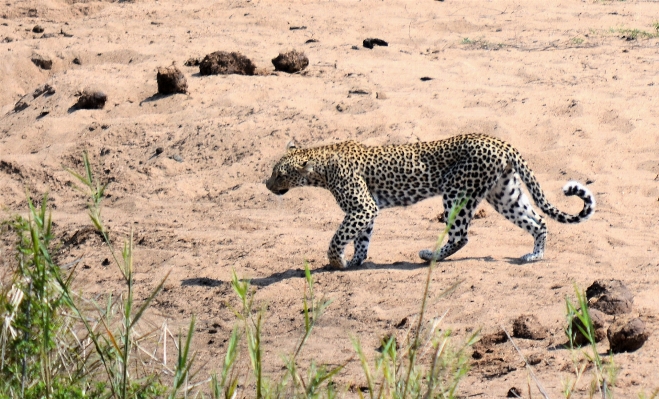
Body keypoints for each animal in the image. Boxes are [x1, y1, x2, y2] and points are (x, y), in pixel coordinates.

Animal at [266, 134, 596, 268]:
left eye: (279, 174)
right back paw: (534, 255)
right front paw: (357, 260)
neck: (321, 165)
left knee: (461, 235)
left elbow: (337, 238)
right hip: (504, 194)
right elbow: (361, 239)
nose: (266, 184)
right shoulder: (366, 210)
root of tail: (500, 142)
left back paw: (430, 255)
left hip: (458, 192)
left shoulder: (362, 207)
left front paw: (337, 262)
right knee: (537, 221)